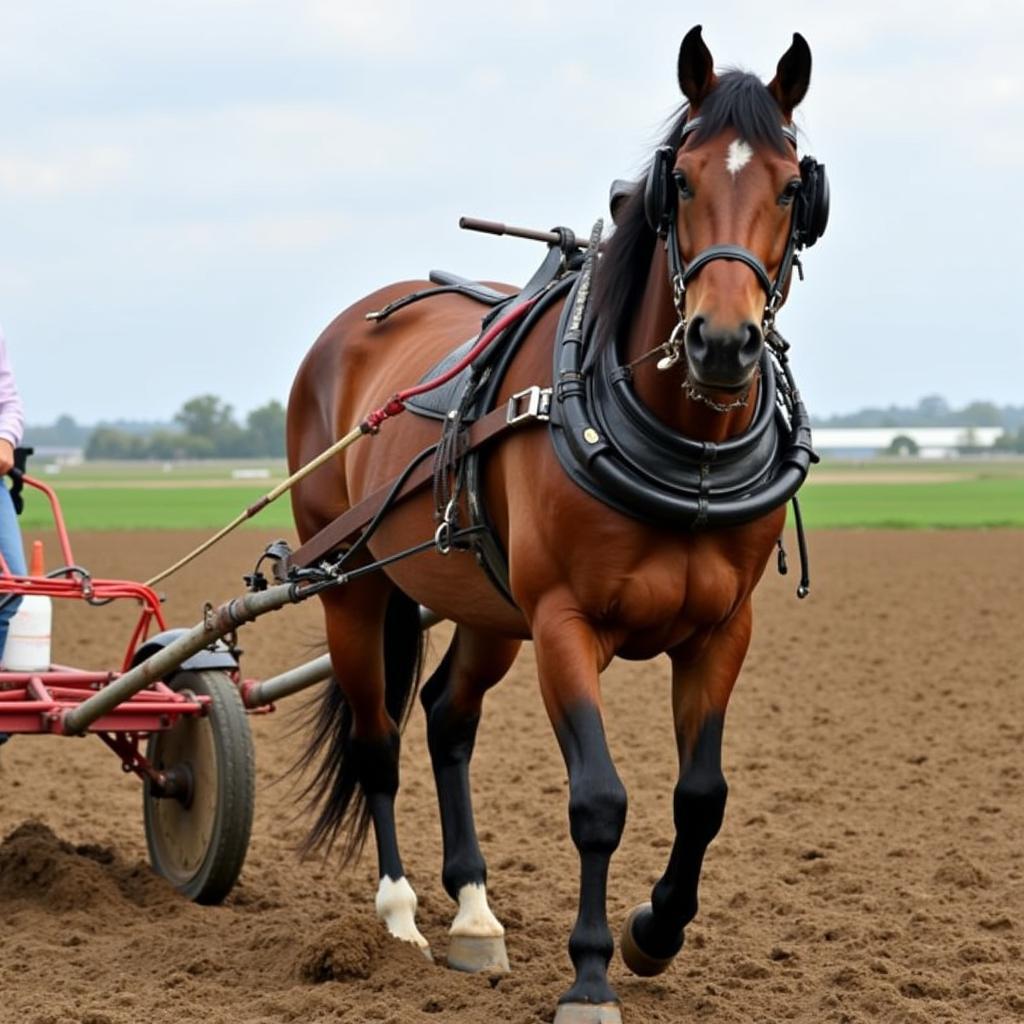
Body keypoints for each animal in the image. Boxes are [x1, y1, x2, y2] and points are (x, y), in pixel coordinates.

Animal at [286, 25, 823, 1024]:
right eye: (680, 179)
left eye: (790, 184)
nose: (722, 343)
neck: (683, 454)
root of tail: (347, 330)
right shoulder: (565, 621)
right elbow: (598, 800)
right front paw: (590, 973)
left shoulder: (722, 630)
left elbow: (703, 795)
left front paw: (655, 932)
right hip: (355, 585)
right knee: (378, 742)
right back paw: (400, 918)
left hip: (488, 607)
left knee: (446, 717)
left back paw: (474, 915)